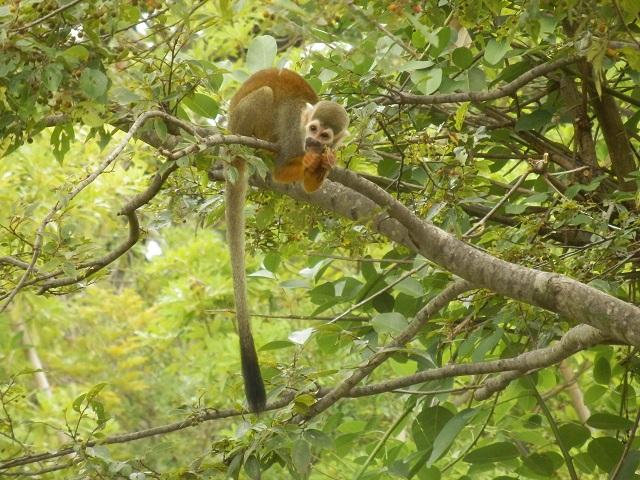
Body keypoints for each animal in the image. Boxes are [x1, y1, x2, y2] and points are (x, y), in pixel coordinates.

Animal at [226, 68, 348, 412]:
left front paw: (324, 165)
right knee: (266, 96)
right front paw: (306, 163)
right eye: (313, 129)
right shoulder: (294, 129)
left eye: (325, 136)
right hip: (242, 125)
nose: (313, 142)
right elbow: (282, 171)